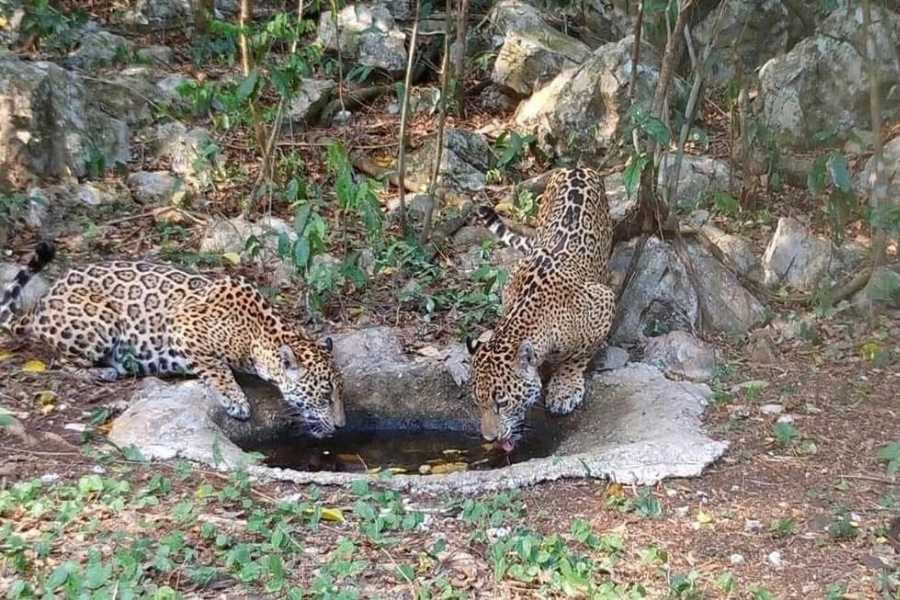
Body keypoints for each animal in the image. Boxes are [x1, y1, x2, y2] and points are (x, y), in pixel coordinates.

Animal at [0, 242, 345, 438]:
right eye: (325, 396)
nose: (342, 425)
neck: (258, 334)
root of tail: (40, 305)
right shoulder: (183, 324)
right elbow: (217, 368)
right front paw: (235, 400)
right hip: (99, 320)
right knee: (59, 361)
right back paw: (103, 371)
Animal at [466, 168, 616, 452]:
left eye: (502, 402)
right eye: (477, 403)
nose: (489, 438)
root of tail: (576, 167)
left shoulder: (603, 301)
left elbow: (578, 355)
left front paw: (564, 389)